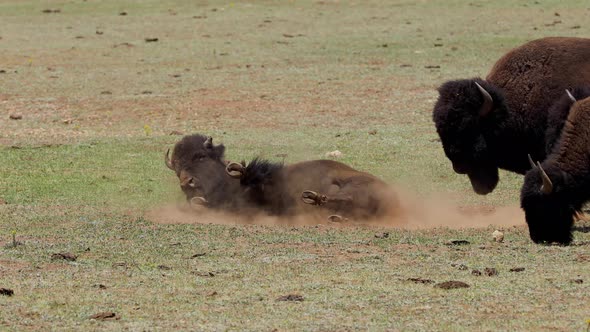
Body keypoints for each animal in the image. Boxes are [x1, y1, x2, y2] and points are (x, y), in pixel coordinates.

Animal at [164, 132, 400, 220]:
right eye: (176, 168)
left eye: (201, 156)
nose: (186, 182)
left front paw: (237, 168)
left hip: (355, 184)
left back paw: (313, 197)